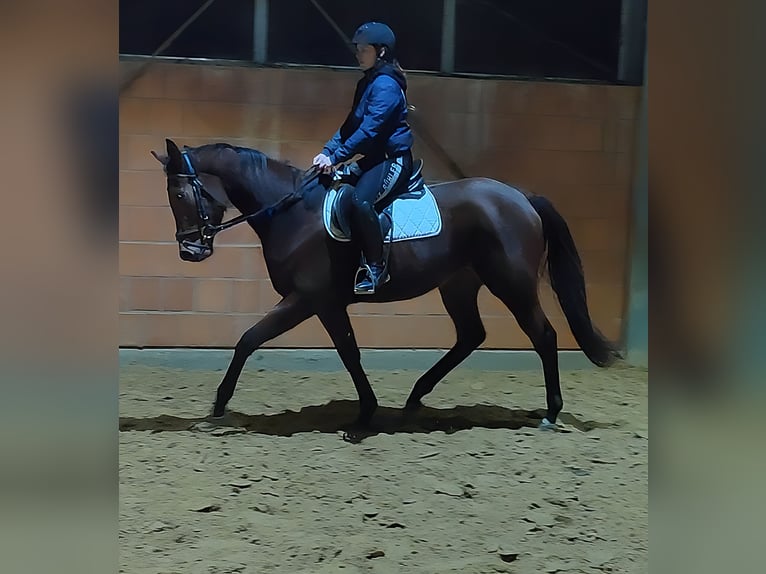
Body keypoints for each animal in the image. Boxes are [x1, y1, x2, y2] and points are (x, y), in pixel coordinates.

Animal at [150, 138, 621, 434]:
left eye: (180, 194)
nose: (190, 250)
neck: (293, 212)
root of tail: (522, 197)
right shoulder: (327, 304)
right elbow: (349, 352)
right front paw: (367, 412)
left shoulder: (306, 299)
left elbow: (249, 340)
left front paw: (218, 406)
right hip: (458, 285)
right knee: (471, 335)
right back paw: (414, 398)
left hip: (512, 284)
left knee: (543, 335)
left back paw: (551, 413)